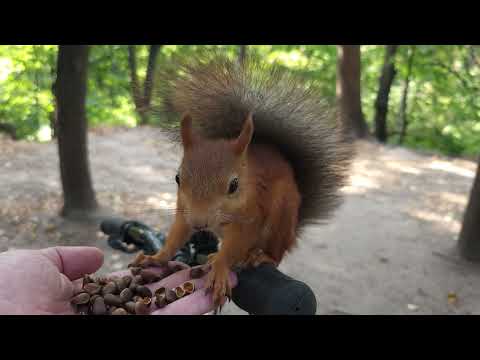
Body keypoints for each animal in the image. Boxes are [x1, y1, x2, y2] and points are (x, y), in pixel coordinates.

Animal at [129, 53, 354, 310]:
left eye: (234, 185)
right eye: (178, 178)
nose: (199, 223)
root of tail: (293, 231)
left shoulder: (251, 216)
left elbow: (235, 245)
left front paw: (220, 270)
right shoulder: (184, 209)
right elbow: (177, 234)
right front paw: (156, 258)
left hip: (280, 219)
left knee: (275, 254)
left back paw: (258, 256)